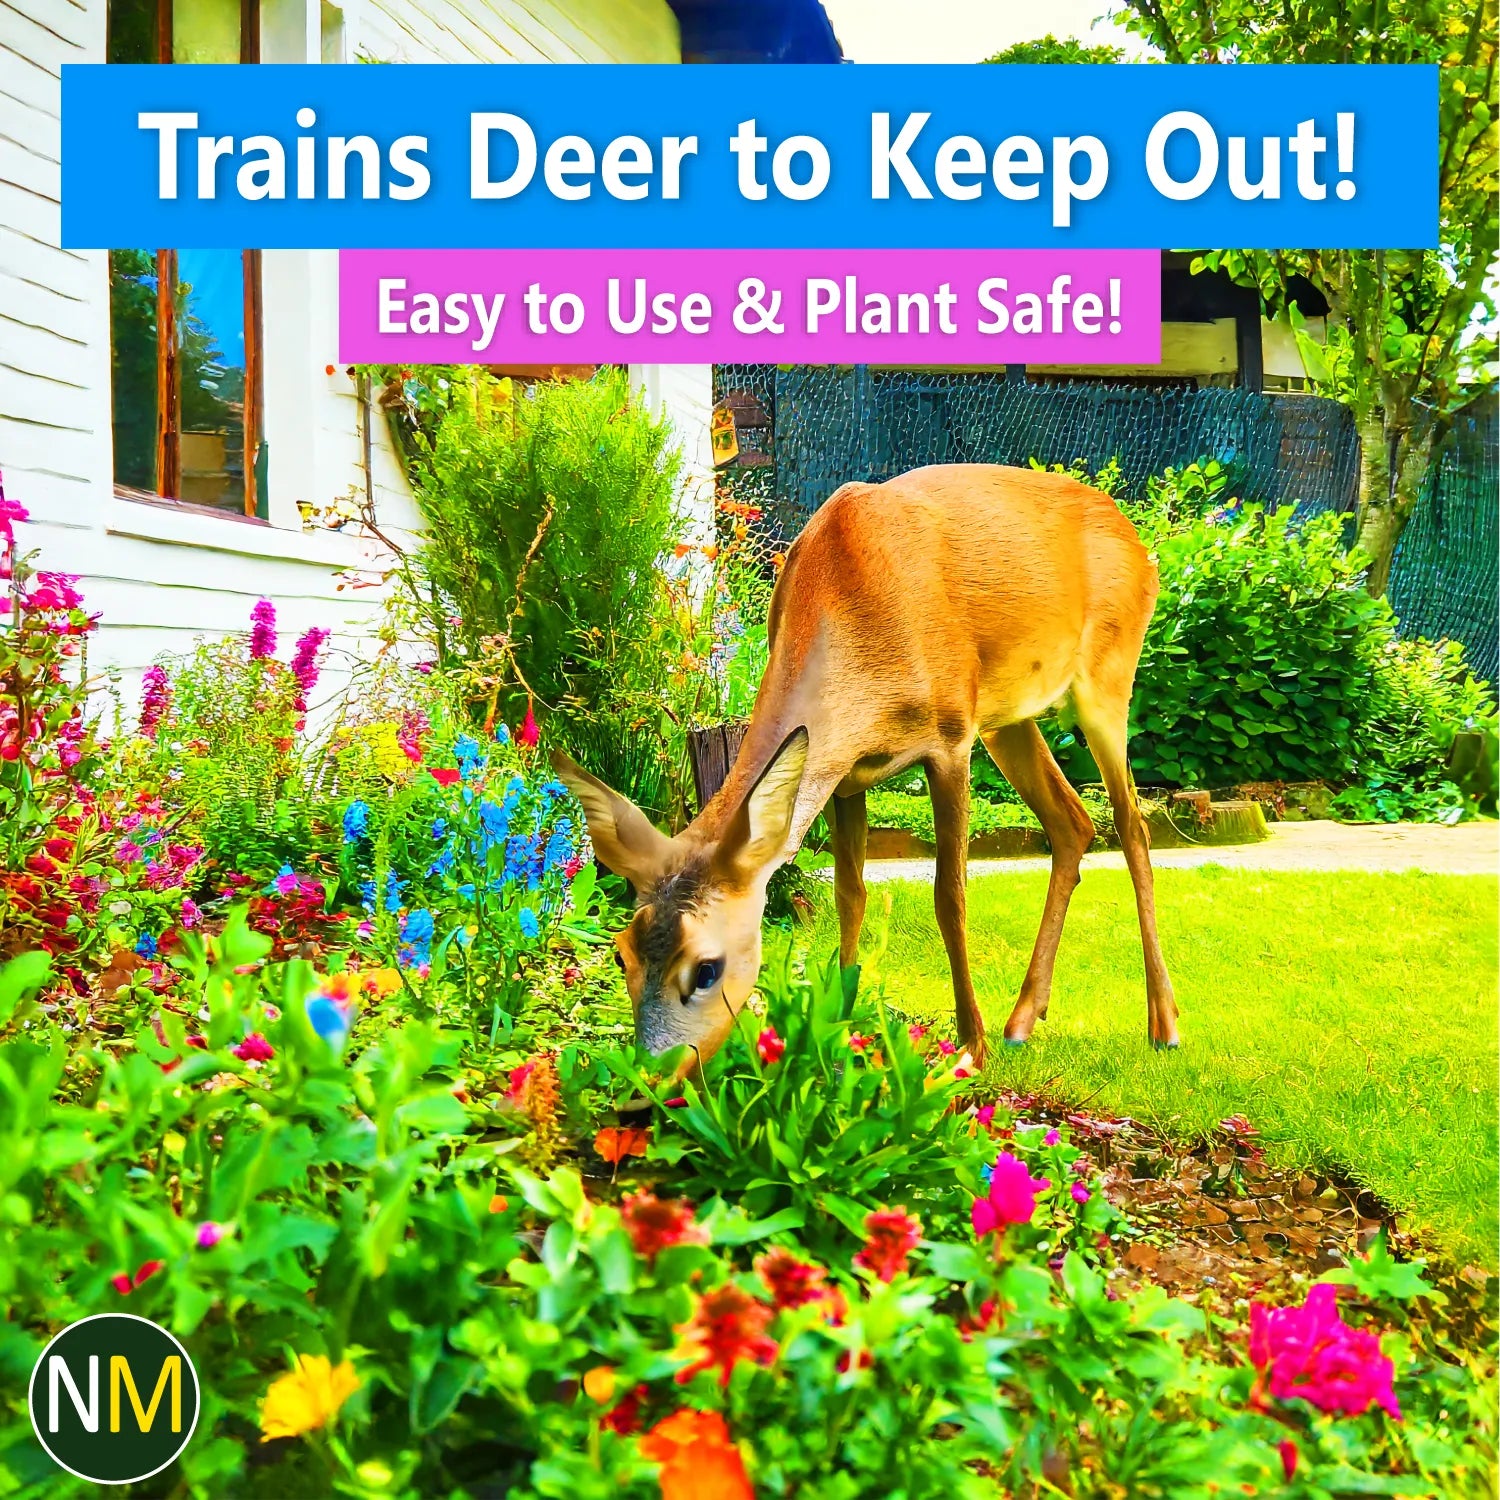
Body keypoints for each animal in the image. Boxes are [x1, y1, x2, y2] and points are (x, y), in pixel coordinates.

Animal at [553, 463, 1178, 1071]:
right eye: (622, 953)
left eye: (706, 967)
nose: (650, 1075)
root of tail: (1137, 541)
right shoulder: (844, 773)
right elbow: (849, 894)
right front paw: (842, 1022)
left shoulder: (951, 740)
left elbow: (950, 896)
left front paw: (968, 1049)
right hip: (1007, 718)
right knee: (1073, 822)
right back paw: (1023, 1019)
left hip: (1107, 676)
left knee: (1132, 824)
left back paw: (1163, 1025)